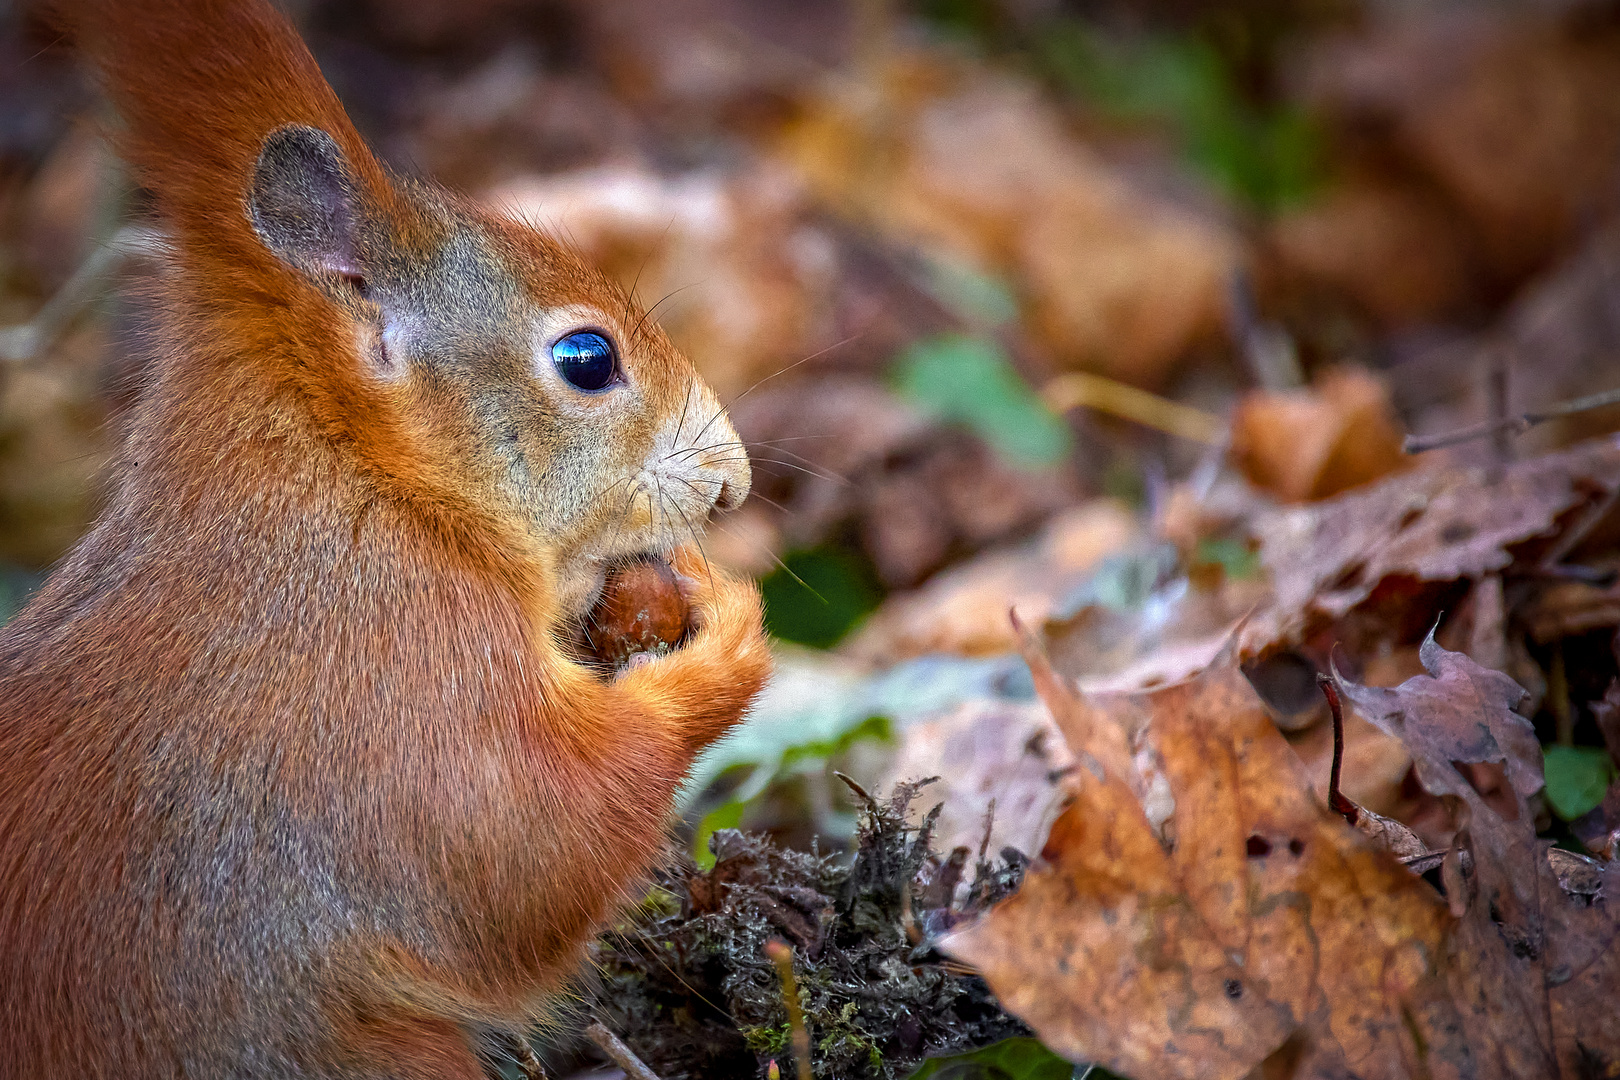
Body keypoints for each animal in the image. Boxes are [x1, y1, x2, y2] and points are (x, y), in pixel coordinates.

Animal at [0, 4, 771, 1075]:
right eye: (587, 358)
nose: (733, 484)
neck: (373, 481)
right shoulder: (396, 669)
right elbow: (524, 848)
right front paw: (726, 637)